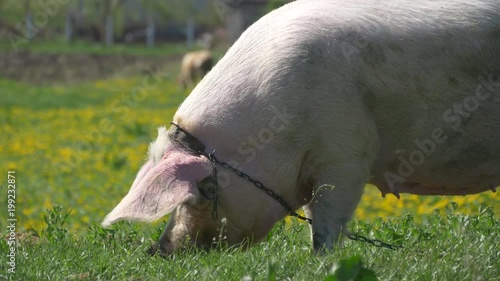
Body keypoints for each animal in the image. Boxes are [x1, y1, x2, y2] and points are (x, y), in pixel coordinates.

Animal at [102, 0, 500, 254]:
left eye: (205, 191)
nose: (162, 249)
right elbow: (311, 218)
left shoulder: (345, 157)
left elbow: (327, 222)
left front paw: (322, 262)